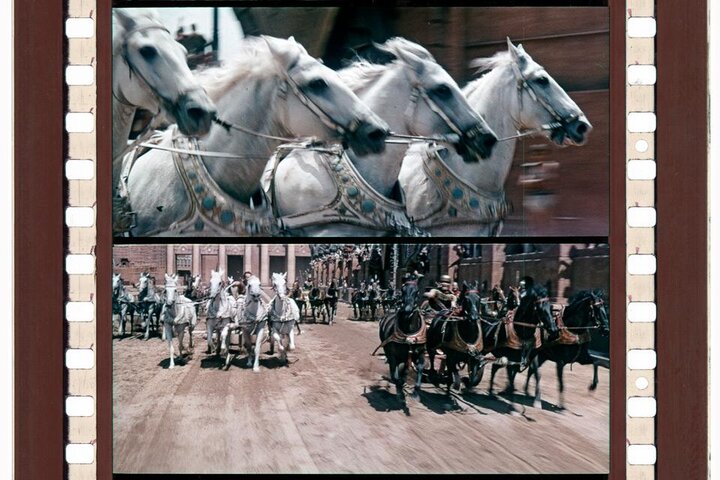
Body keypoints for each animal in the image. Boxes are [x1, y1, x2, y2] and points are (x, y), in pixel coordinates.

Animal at [376, 276, 428, 410]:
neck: (409, 332)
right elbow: (395, 377)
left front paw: (415, 393)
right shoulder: (393, 355)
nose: (407, 310)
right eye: (403, 290)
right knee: (394, 371)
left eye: (417, 291)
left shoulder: (419, 353)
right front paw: (400, 394)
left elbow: (420, 368)